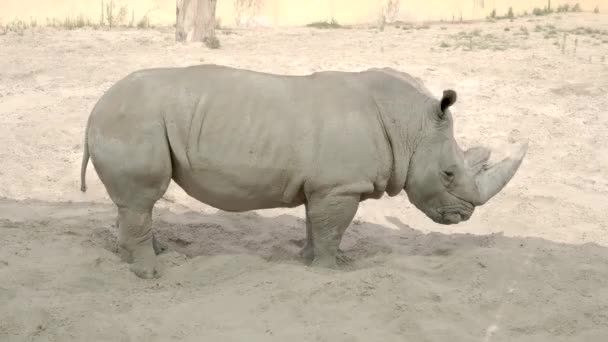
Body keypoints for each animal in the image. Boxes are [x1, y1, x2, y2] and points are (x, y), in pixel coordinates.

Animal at [81, 63, 528, 278]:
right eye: (449, 174)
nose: (463, 216)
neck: (410, 125)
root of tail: (95, 108)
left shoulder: (327, 185)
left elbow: (319, 224)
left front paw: (319, 260)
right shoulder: (340, 186)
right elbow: (332, 227)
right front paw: (330, 271)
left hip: (133, 118)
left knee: (136, 204)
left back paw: (156, 256)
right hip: (133, 120)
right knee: (142, 198)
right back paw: (151, 274)